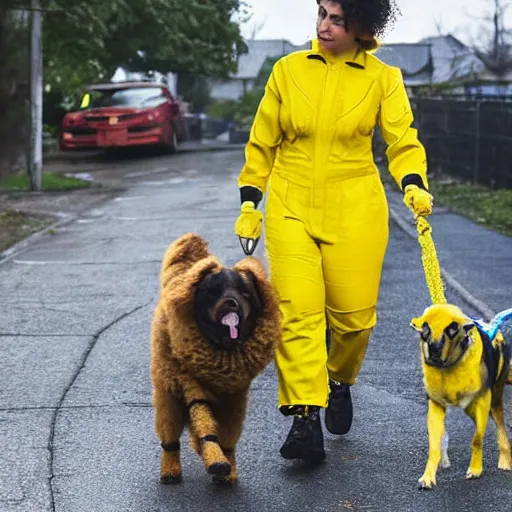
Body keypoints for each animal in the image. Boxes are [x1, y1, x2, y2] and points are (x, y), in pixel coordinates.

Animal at [150, 232, 282, 484]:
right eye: (214, 291)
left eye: (245, 293)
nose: (231, 302)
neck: (222, 348)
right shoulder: (188, 382)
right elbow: (202, 418)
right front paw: (214, 457)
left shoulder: (234, 400)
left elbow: (228, 436)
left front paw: (227, 467)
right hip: (168, 393)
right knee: (170, 433)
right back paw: (170, 469)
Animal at [412, 302, 512, 490]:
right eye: (425, 329)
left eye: (452, 329)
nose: (434, 348)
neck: (449, 366)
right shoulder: (436, 405)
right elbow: (434, 444)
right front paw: (428, 477)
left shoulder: (483, 401)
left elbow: (477, 438)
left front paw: (475, 469)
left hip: (494, 399)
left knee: (501, 426)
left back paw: (505, 460)